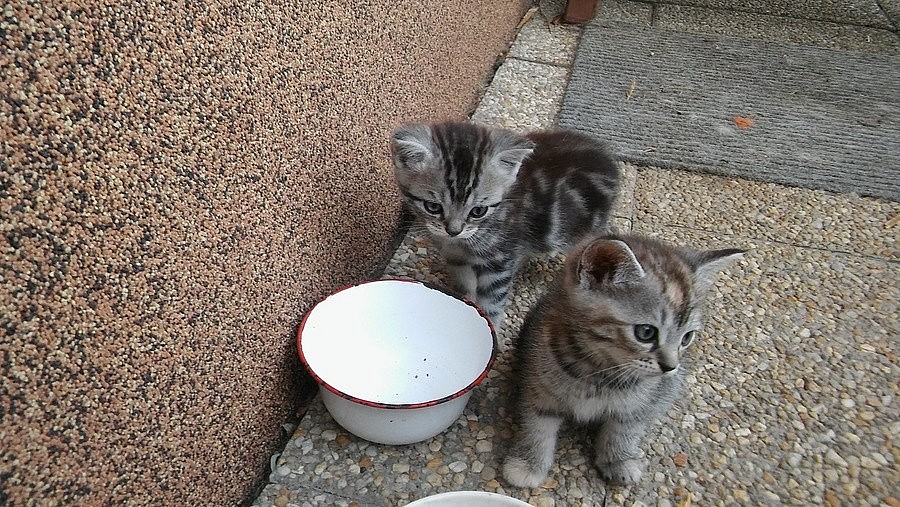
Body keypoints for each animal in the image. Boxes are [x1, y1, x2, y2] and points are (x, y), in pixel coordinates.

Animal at [391, 121, 620, 330]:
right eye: (433, 207)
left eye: (478, 211)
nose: (453, 231)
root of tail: (608, 159)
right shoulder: (457, 258)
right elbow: (466, 285)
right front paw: (465, 303)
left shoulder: (499, 260)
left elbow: (492, 300)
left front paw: (491, 326)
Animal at [502, 234, 744, 487]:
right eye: (646, 333)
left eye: (687, 337)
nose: (670, 367)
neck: (599, 372)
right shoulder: (539, 388)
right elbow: (537, 428)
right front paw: (529, 464)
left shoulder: (638, 404)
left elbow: (624, 430)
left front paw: (619, 460)